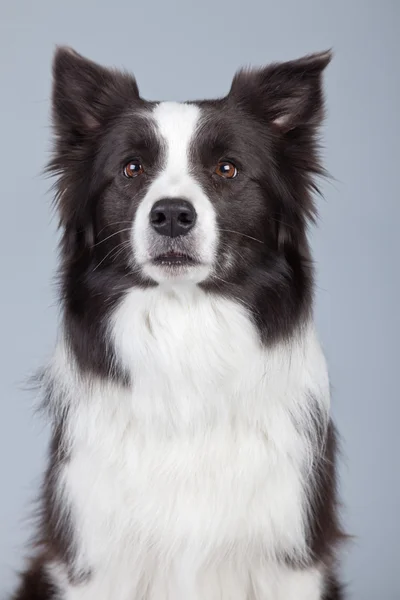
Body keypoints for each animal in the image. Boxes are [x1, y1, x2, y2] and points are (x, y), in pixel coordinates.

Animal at [12, 44, 344, 596]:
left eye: (227, 168)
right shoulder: (98, 558)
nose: (170, 214)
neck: (184, 323)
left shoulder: (287, 559)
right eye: (131, 168)